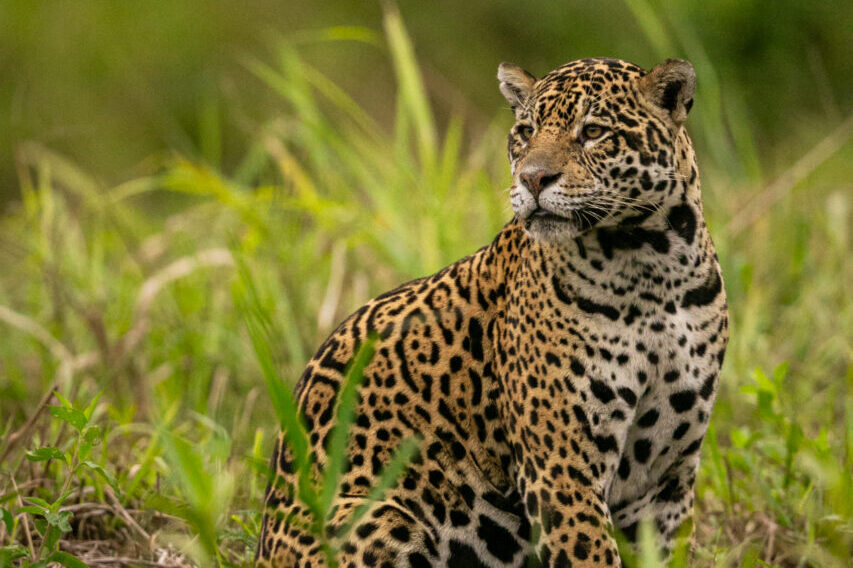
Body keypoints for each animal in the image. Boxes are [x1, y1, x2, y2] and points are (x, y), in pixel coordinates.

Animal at [256, 56, 729, 568]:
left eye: (593, 131)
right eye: (525, 131)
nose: (533, 179)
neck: (650, 269)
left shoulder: (667, 480)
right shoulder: (562, 470)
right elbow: (590, 553)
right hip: (380, 513)